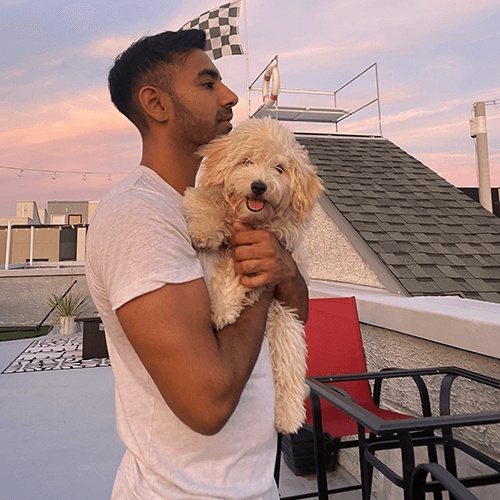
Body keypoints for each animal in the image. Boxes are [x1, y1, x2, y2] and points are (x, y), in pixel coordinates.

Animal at [184, 117, 324, 434]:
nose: (259, 186)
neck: (249, 219)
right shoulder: (213, 199)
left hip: (286, 326)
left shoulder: (274, 242)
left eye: (279, 168)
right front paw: (204, 229)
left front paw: (222, 307)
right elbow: (208, 202)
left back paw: (289, 416)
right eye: (246, 161)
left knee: (288, 372)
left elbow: (237, 270)